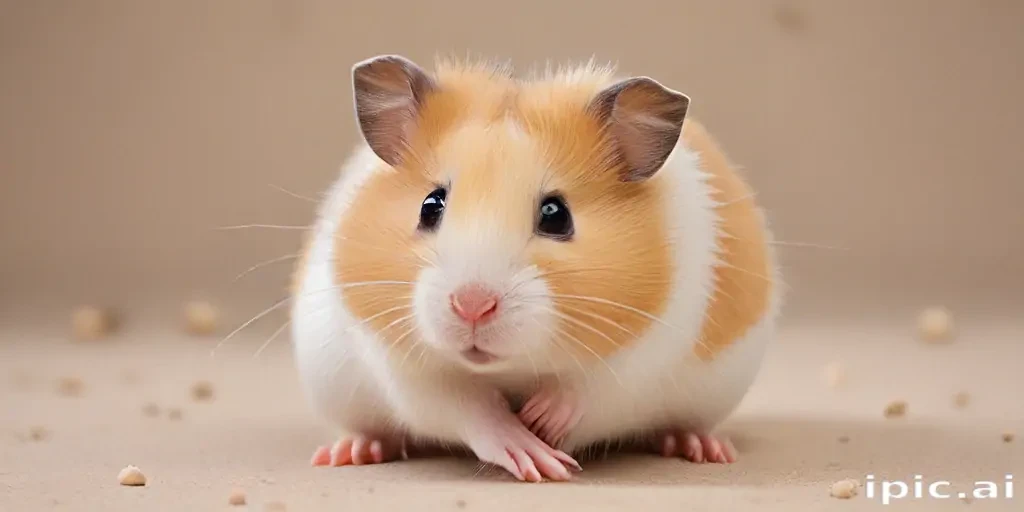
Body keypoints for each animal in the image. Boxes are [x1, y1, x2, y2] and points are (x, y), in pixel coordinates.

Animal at [290, 54, 782, 482]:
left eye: (556, 215)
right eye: (430, 206)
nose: (472, 306)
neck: (509, 368)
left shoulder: (650, 346)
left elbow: (591, 390)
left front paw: (543, 422)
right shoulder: (402, 366)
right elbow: (468, 409)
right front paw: (534, 456)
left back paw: (704, 448)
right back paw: (349, 452)